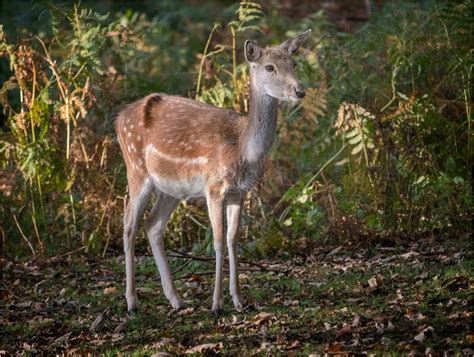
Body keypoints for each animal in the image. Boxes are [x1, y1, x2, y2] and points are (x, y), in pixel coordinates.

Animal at [115, 30, 312, 314]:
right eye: (269, 67)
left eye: (293, 64)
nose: (299, 90)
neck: (241, 149)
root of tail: (119, 118)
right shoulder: (214, 187)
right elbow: (218, 241)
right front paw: (217, 304)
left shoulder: (240, 192)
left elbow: (233, 240)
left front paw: (239, 300)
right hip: (136, 169)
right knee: (129, 224)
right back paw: (132, 301)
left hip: (171, 188)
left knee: (152, 224)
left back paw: (176, 299)